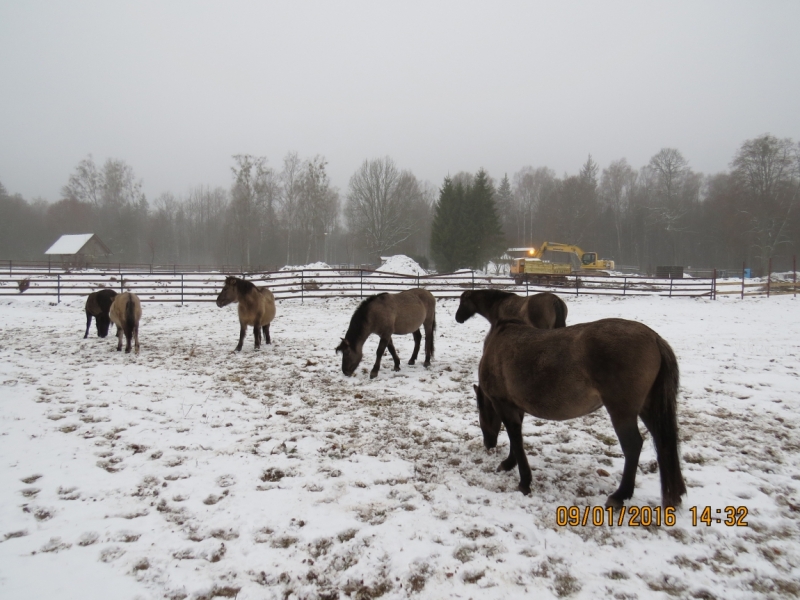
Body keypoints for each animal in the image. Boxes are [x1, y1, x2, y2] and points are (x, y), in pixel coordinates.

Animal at [476, 316, 688, 508]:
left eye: (480, 412)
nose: (488, 444)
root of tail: (654, 338)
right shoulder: (515, 406)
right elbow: (516, 438)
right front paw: (509, 463)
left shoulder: (503, 404)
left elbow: (515, 438)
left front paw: (524, 481)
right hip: (648, 408)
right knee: (664, 442)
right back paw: (675, 495)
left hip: (622, 412)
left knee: (633, 445)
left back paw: (620, 495)